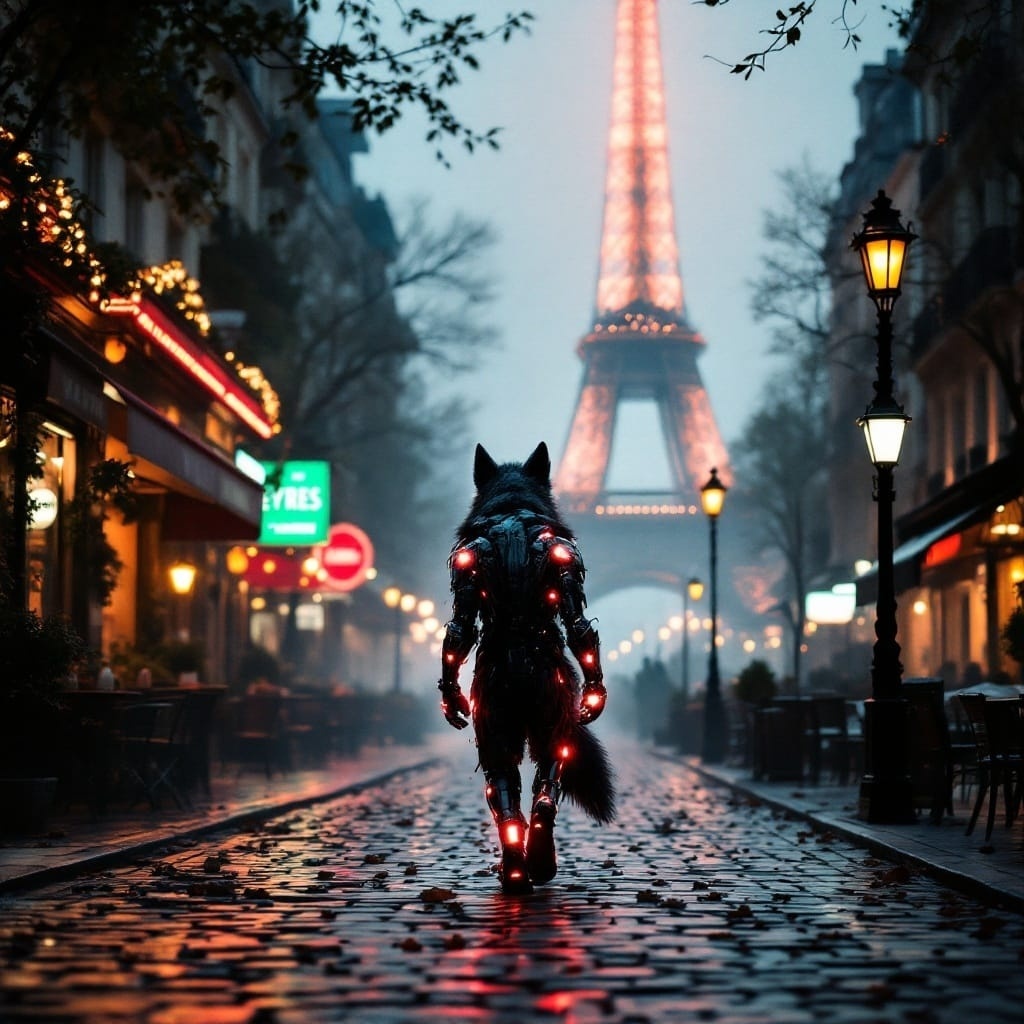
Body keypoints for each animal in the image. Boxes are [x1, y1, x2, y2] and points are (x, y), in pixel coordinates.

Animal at [438, 442, 616, 894]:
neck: (513, 513)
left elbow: (462, 627)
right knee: (523, 785)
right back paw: (529, 865)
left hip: (516, 708)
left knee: (529, 785)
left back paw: (523, 866)